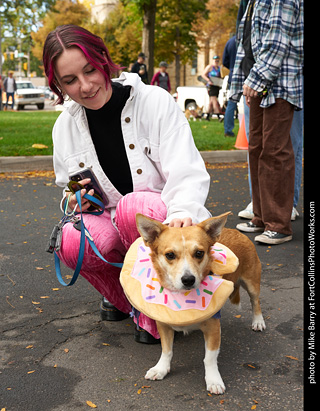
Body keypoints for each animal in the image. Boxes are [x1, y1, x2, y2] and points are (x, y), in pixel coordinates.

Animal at [135, 212, 264, 396]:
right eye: (170, 255)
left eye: (199, 253)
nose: (188, 279)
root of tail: (235, 231)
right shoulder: (163, 326)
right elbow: (167, 351)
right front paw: (161, 368)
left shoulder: (213, 328)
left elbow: (209, 358)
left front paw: (213, 380)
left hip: (251, 283)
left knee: (255, 301)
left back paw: (258, 321)